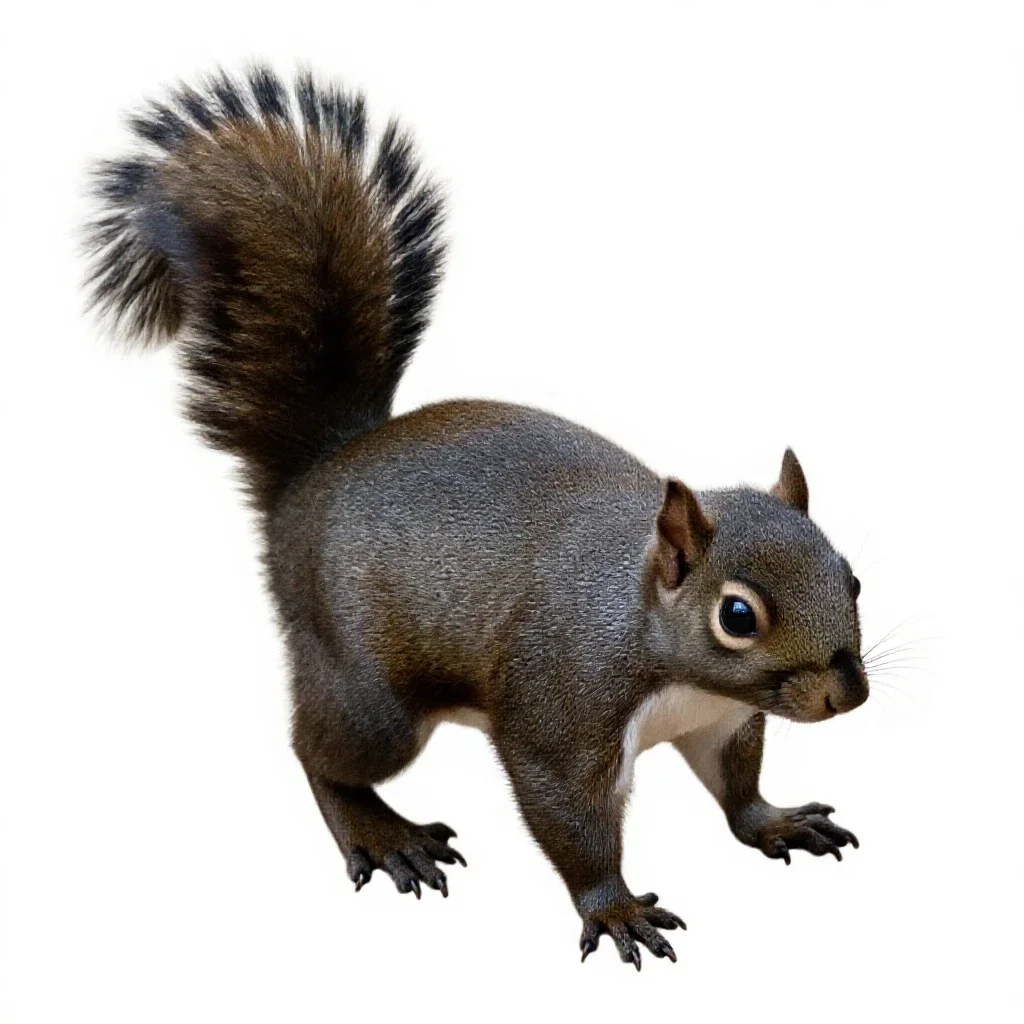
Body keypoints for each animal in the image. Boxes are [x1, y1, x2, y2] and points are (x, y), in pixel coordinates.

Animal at [84, 66, 869, 970]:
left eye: (852, 576)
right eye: (737, 616)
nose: (847, 696)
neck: (668, 659)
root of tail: (314, 476)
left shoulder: (724, 720)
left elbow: (738, 787)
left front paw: (775, 822)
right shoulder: (560, 714)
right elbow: (570, 822)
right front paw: (613, 909)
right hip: (370, 695)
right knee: (319, 753)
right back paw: (381, 832)